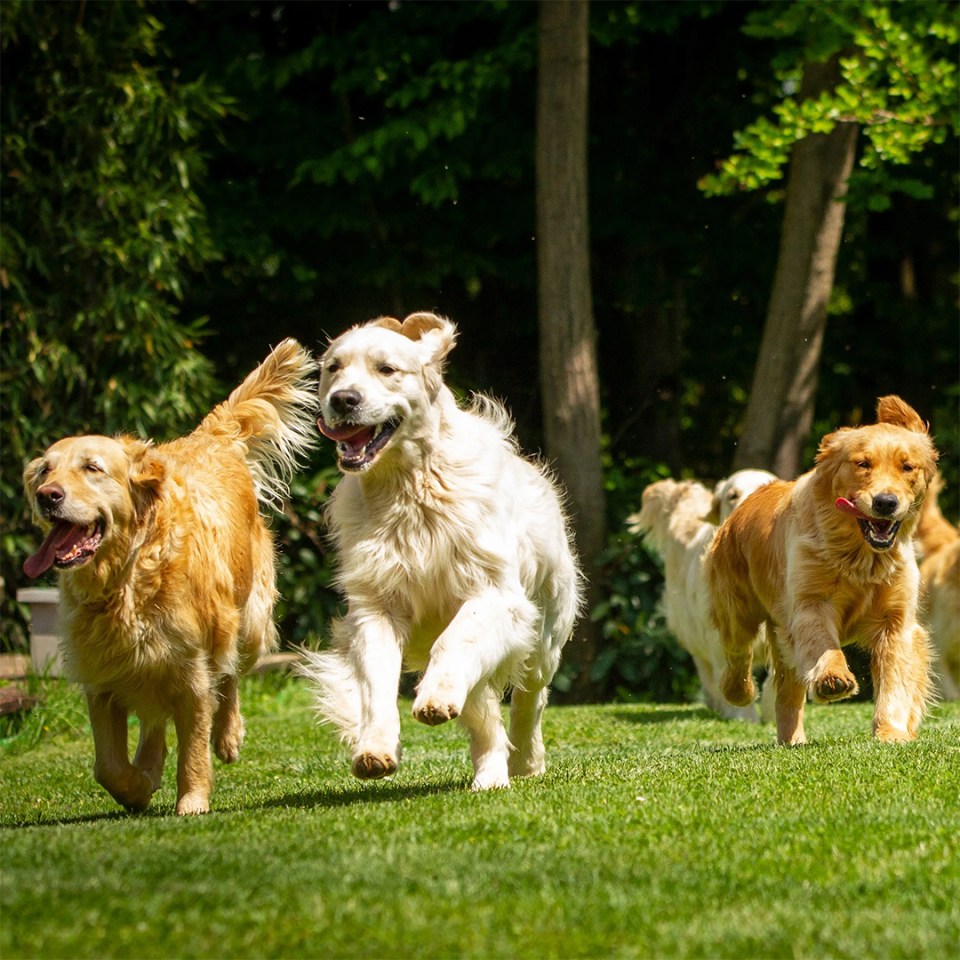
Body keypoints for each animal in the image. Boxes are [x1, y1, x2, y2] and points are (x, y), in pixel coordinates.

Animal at [22, 342, 316, 812]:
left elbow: (194, 746)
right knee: (155, 719)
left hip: (248, 623)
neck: (126, 578)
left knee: (231, 676)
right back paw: (149, 762)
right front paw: (137, 785)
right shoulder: (102, 678)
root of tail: (211, 438)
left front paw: (191, 801)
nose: (45, 495)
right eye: (46, 470)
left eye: (92, 468)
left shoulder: (191, 670)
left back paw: (228, 735)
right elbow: (107, 766)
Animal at [302, 312, 584, 792]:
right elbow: (376, 682)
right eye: (333, 369)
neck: (409, 487)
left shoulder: (495, 595)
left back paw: (525, 760)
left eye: (387, 369)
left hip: (546, 632)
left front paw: (432, 698)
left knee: (531, 696)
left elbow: (454, 641)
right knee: (485, 719)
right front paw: (375, 747)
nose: (343, 399)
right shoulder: (376, 606)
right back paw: (490, 774)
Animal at [632, 464, 780, 720]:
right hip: (690, 628)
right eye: (732, 495)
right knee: (707, 672)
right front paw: (744, 718)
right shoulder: (719, 635)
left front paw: (772, 714)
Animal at [704, 394, 936, 748]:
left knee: (786, 694)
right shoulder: (810, 603)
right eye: (862, 464)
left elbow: (896, 679)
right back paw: (739, 692)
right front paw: (832, 678)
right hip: (736, 608)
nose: (885, 502)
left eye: (907, 467)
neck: (859, 556)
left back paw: (792, 739)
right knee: (737, 654)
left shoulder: (896, 619)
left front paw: (891, 731)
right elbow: (822, 643)